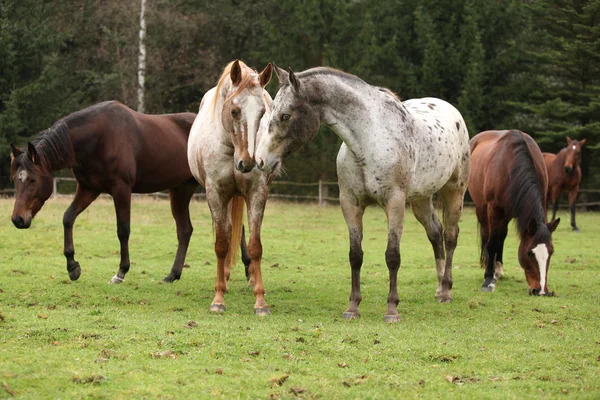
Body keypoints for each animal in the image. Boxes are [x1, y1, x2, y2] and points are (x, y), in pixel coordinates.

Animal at [10, 103, 251, 284]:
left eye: (33, 179)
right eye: (14, 179)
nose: (18, 220)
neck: (98, 137)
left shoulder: (121, 189)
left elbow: (123, 230)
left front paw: (121, 272)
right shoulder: (89, 189)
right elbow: (68, 218)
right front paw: (73, 266)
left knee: (233, 227)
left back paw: (247, 271)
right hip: (180, 191)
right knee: (187, 230)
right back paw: (173, 275)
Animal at [188, 60, 274, 316]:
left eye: (263, 113)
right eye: (234, 111)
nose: (248, 162)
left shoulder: (257, 193)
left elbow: (255, 246)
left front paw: (260, 301)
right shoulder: (216, 194)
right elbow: (221, 244)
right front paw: (218, 299)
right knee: (225, 231)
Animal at [253, 65, 468, 322]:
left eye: (286, 115)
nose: (261, 160)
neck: (369, 141)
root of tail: (450, 109)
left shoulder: (395, 203)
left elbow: (392, 255)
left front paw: (392, 309)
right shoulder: (350, 204)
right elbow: (355, 255)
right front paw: (353, 307)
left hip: (454, 191)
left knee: (450, 236)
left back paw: (445, 291)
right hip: (421, 200)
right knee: (435, 234)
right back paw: (437, 288)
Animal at [468, 130, 564, 296]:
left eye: (551, 252)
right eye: (530, 253)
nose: (540, 291)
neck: (510, 165)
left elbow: (499, 239)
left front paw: (496, 272)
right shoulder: (494, 208)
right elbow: (491, 243)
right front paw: (488, 280)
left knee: (501, 236)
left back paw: (498, 271)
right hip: (481, 208)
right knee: (487, 236)